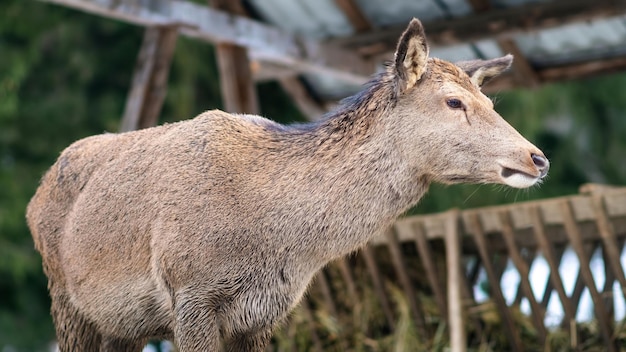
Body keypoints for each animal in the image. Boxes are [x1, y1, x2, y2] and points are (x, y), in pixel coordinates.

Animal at [28, 19, 544, 352]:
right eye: (454, 101)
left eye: (491, 101)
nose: (537, 157)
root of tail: (37, 194)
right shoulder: (189, 293)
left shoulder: (263, 315)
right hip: (66, 302)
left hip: (122, 327)